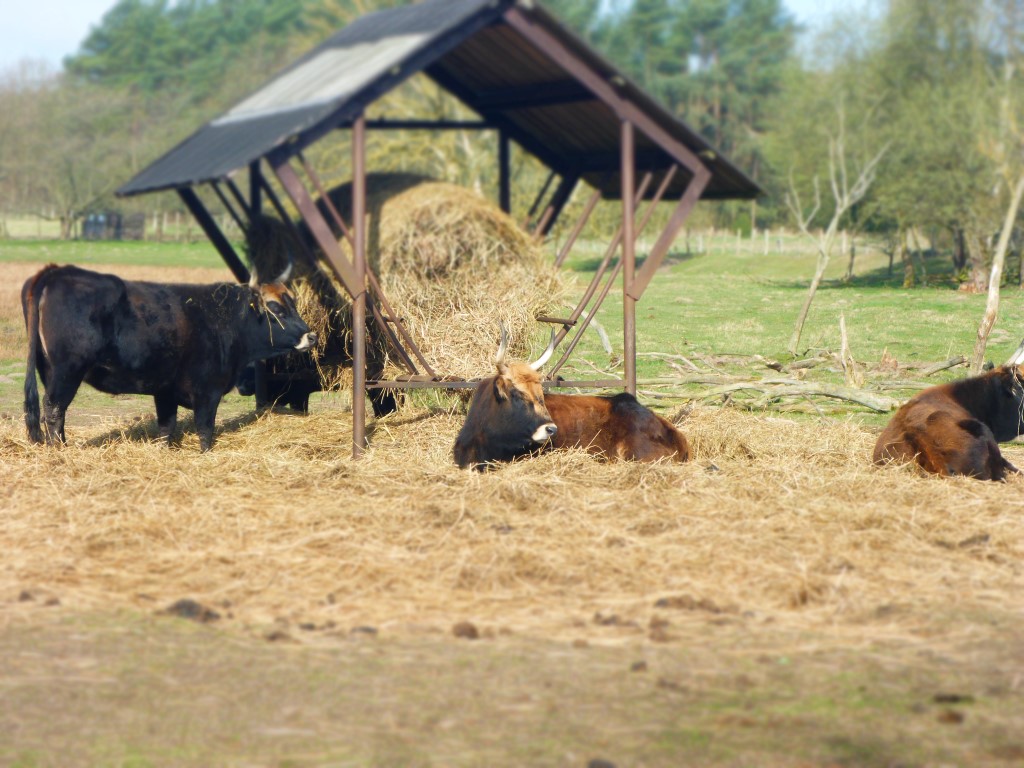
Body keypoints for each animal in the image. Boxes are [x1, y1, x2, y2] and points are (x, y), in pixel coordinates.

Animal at [22, 263, 316, 451]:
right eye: (276, 309)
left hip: (49, 370)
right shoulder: (207, 391)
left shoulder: (165, 391)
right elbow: (205, 430)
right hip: (67, 371)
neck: (225, 320)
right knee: (54, 410)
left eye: (293, 303)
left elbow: (165, 429)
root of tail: (57, 271)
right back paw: (59, 450)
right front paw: (205, 454)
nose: (311, 336)